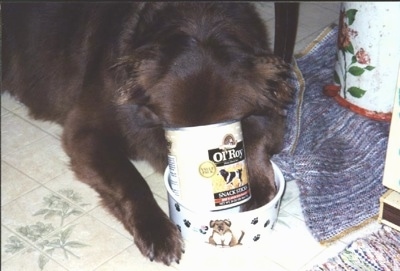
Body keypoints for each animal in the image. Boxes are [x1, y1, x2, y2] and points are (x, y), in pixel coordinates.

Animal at [1, 2, 292, 266]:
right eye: (172, 126)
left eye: (228, 123)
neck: (199, 18)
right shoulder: (86, 130)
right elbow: (131, 181)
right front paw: (158, 232)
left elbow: (256, 145)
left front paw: (259, 194)